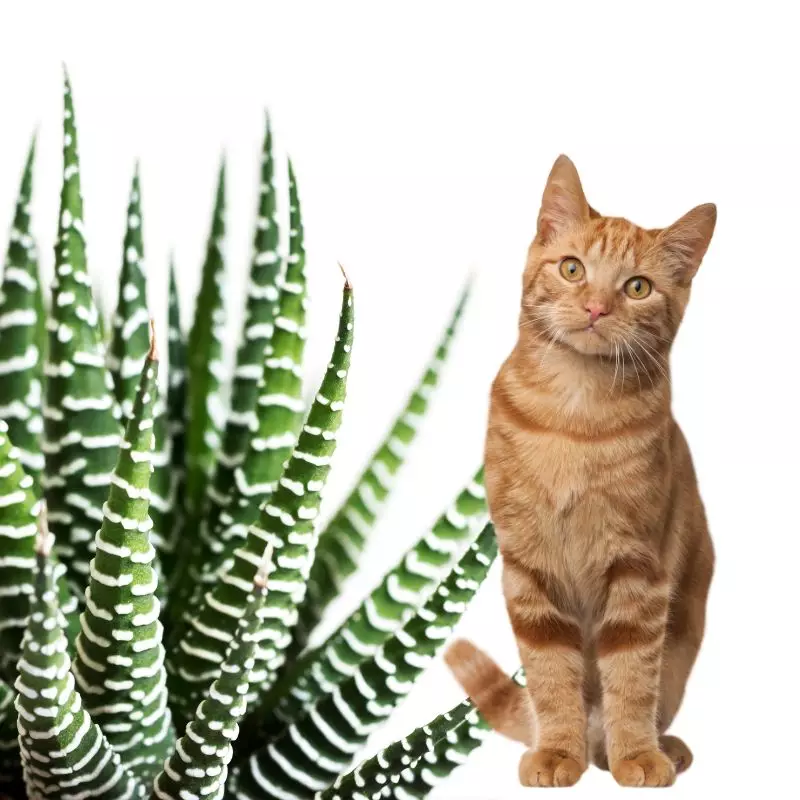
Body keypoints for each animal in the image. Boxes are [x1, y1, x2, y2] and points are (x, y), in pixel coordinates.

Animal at [446, 156, 716, 788]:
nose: (596, 308)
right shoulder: (528, 567)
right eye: (573, 269)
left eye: (637, 287)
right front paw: (557, 753)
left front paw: (637, 755)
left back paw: (657, 747)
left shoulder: (639, 568)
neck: (575, 414)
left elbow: (632, 677)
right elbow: (550, 676)